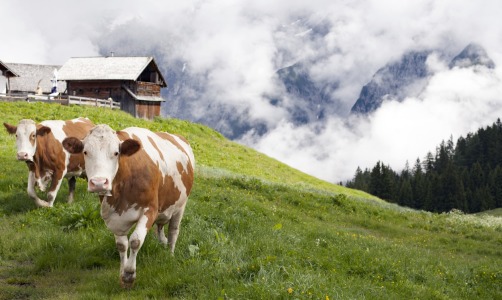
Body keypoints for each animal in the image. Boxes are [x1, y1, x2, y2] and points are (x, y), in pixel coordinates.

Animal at [62, 125, 194, 288]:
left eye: (116, 153)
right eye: (85, 152)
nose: (99, 183)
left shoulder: (150, 209)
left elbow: (135, 241)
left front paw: (129, 275)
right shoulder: (113, 216)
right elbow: (122, 245)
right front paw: (122, 273)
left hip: (180, 206)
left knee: (173, 231)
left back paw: (170, 254)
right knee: (161, 228)